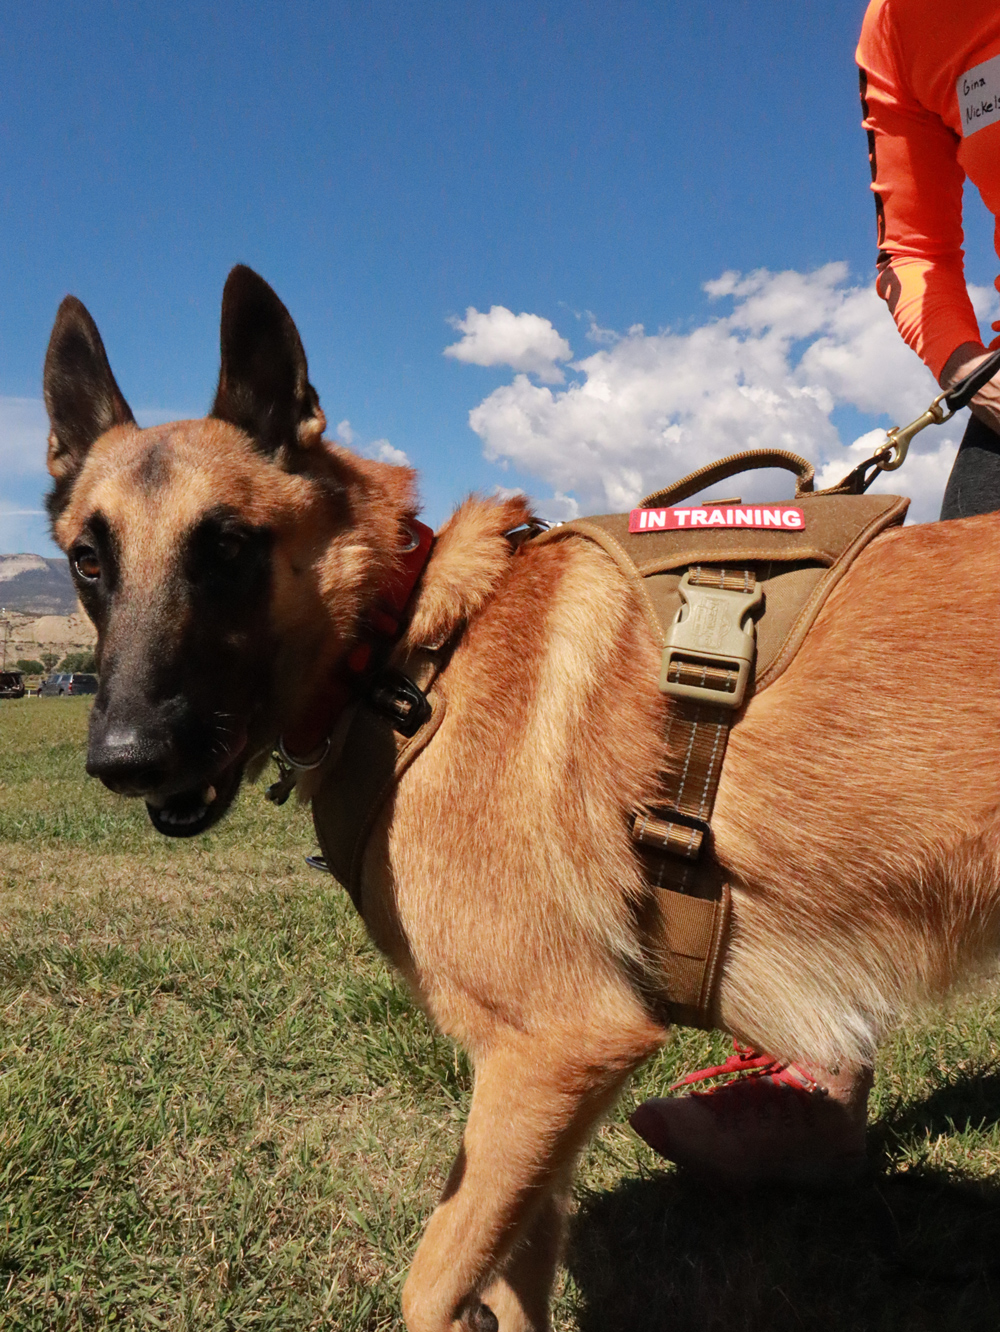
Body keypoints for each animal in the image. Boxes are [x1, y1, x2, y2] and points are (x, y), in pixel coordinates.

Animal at [41, 270, 1000, 1332]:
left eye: (226, 548)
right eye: (88, 560)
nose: (124, 756)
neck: (409, 649)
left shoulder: (556, 1045)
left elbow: (433, 1282)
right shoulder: (538, 1090)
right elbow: (514, 1268)